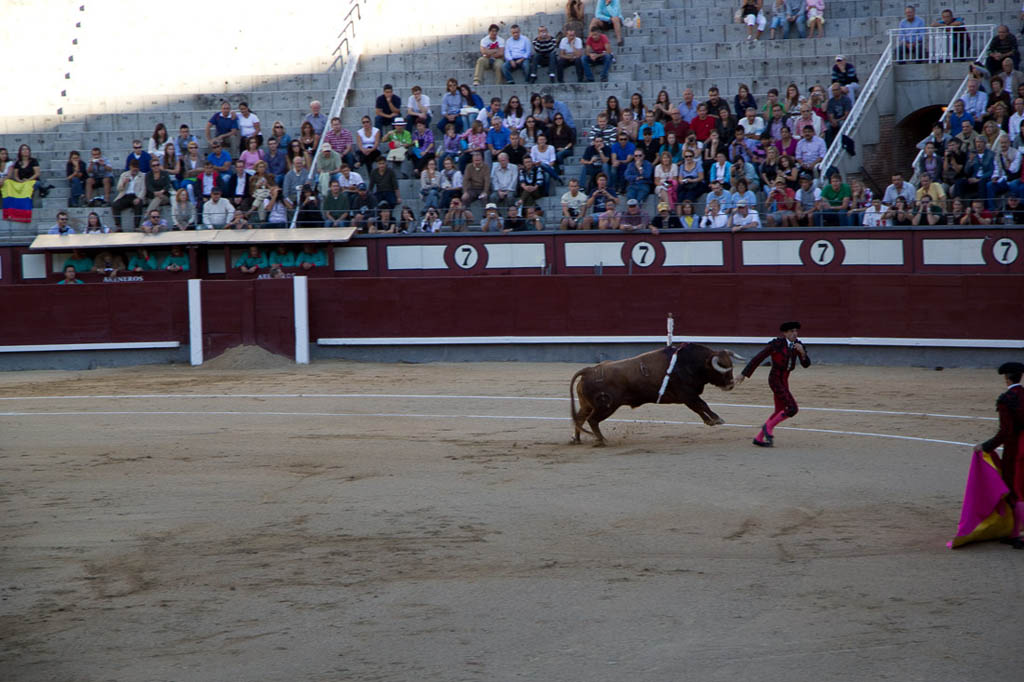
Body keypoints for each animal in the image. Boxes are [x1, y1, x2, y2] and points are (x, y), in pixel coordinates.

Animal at [569, 342, 745, 444]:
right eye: (723, 369)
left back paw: (577, 439)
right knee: (592, 420)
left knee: (580, 418)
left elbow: (698, 408)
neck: (691, 363)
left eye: (731, 367)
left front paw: (709, 421)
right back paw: (603, 440)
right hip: (606, 406)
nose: (731, 384)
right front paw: (717, 419)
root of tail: (589, 370)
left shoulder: (688, 397)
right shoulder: (687, 394)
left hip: (587, 405)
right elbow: (702, 405)